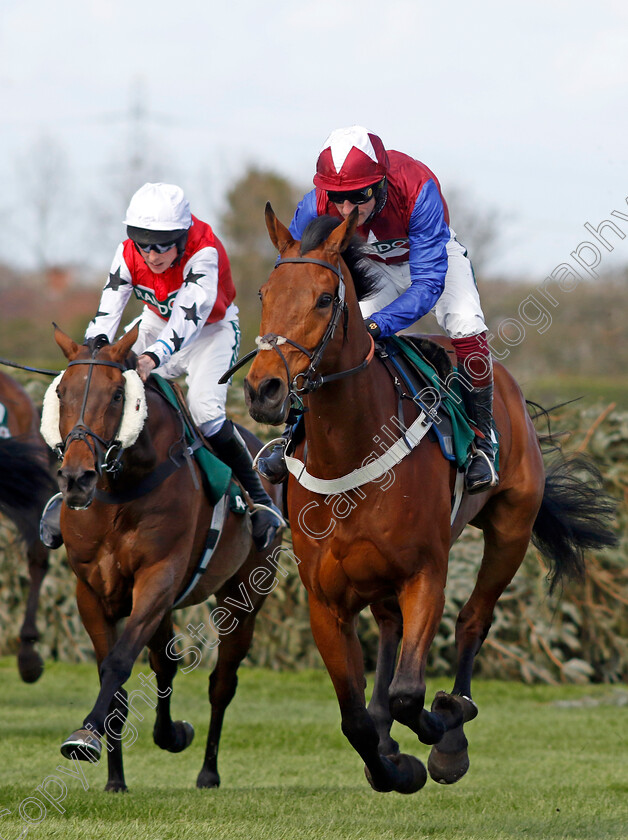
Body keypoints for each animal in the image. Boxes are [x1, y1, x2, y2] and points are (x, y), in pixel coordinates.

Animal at [41, 324, 282, 792]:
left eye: (118, 395)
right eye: (61, 391)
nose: (77, 478)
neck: (120, 492)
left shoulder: (157, 579)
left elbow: (119, 663)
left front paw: (85, 737)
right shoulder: (92, 592)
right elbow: (116, 681)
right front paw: (114, 777)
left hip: (242, 598)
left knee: (222, 682)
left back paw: (208, 771)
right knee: (165, 662)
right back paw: (170, 734)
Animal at [244, 208, 620, 796]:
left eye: (325, 299)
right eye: (264, 293)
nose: (264, 390)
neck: (350, 449)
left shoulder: (426, 573)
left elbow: (410, 694)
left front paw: (439, 733)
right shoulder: (324, 599)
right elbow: (354, 717)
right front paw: (390, 764)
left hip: (510, 530)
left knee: (473, 620)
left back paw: (454, 725)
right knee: (389, 630)